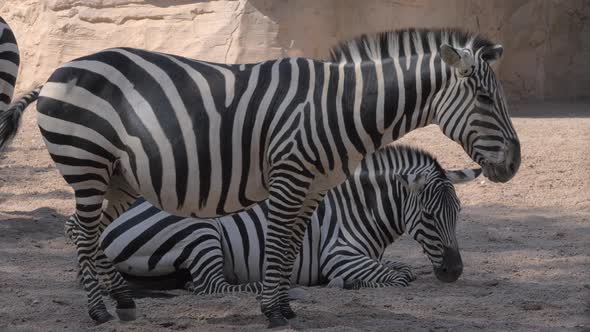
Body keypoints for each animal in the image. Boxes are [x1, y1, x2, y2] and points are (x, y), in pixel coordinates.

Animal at [86, 146, 480, 294]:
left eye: (458, 213)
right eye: (428, 215)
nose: (455, 272)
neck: (358, 208)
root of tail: (113, 224)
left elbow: (400, 267)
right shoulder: (339, 255)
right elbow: (400, 275)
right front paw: (345, 283)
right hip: (200, 230)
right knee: (210, 286)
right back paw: (266, 285)